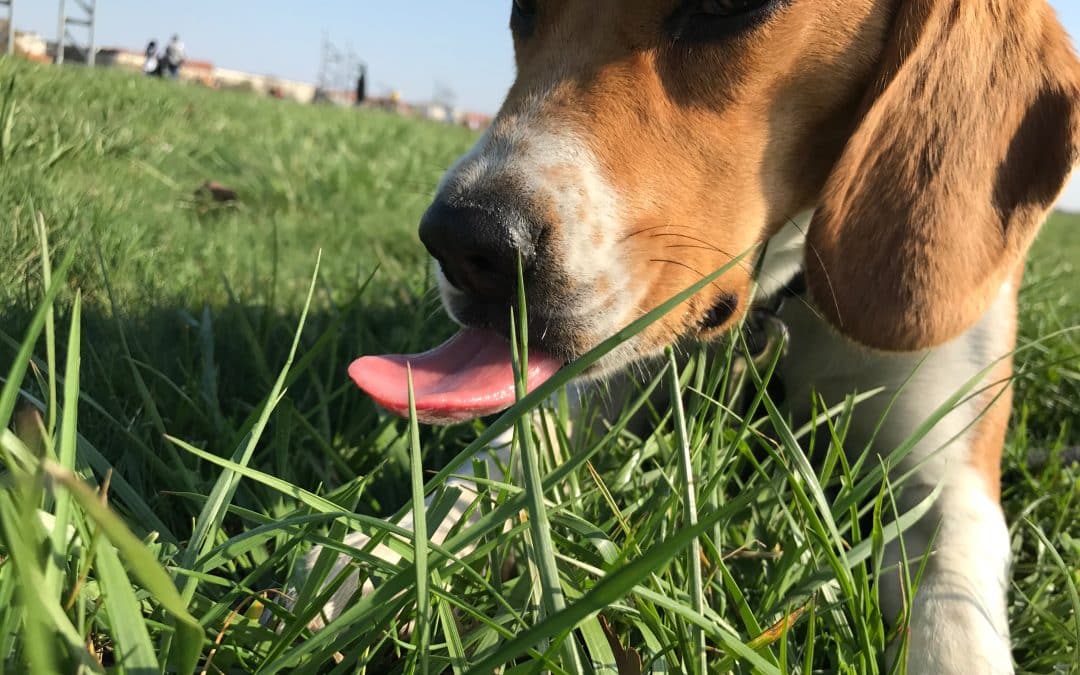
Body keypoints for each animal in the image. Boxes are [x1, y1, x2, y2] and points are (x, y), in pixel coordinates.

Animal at [304, 2, 1080, 669]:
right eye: (522, 5)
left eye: (730, 2)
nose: (464, 243)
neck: (783, 301)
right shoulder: (581, 390)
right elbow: (494, 463)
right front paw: (380, 554)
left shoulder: (947, 481)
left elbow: (955, 611)